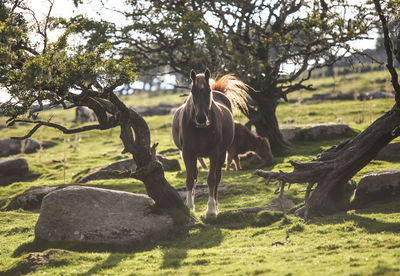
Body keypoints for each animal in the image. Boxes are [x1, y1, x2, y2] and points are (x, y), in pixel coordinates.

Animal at [171, 68, 247, 216]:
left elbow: (211, 179)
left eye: (208, 91)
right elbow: (190, 179)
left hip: (221, 154)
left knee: (217, 177)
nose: (200, 118)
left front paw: (211, 209)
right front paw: (189, 206)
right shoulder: (188, 153)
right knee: (195, 175)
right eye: (193, 91)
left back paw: (215, 205)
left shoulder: (214, 153)